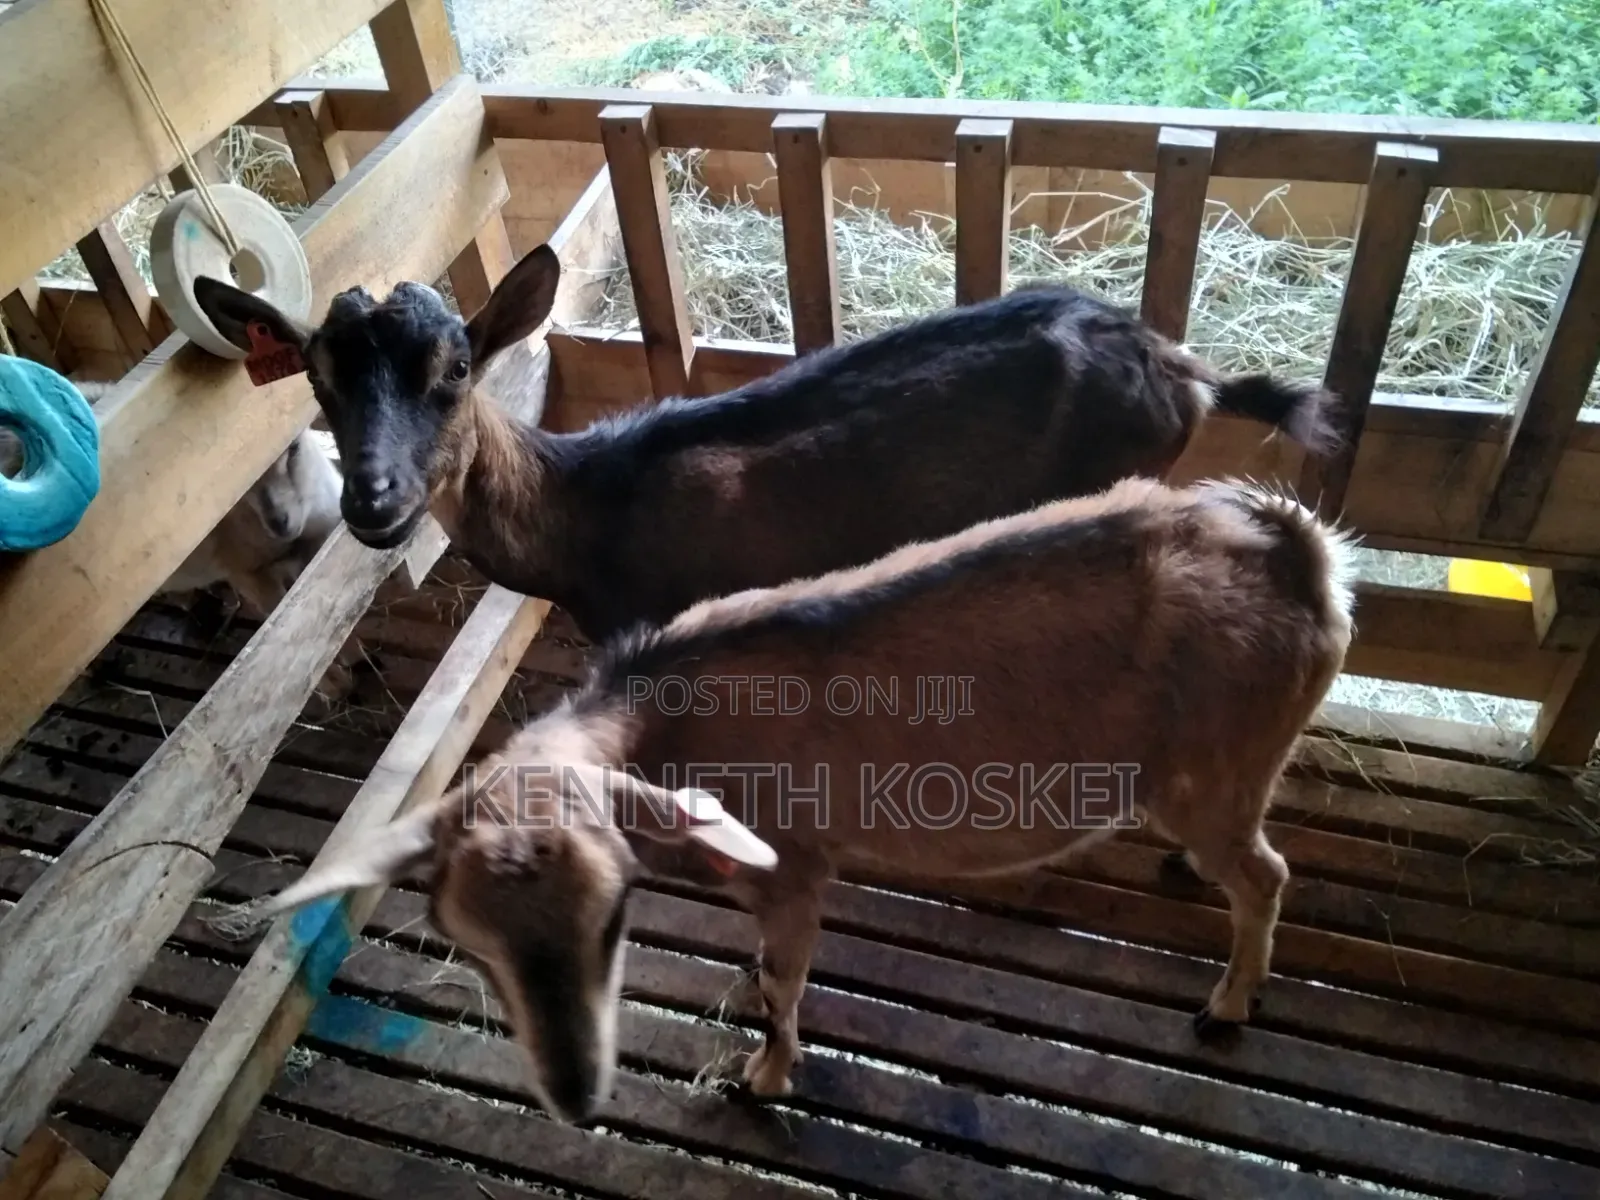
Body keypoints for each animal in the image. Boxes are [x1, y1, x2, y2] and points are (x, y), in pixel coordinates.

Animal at [255, 473, 1357, 1125]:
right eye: (470, 942)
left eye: (616, 915)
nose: (574, 1093)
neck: (671, 722)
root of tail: (1303, 556)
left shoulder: (793, 864)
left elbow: (785, 981)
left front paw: (764, 1075)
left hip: (1217, 765)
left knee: (1266, 873)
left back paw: (1225, 1004)